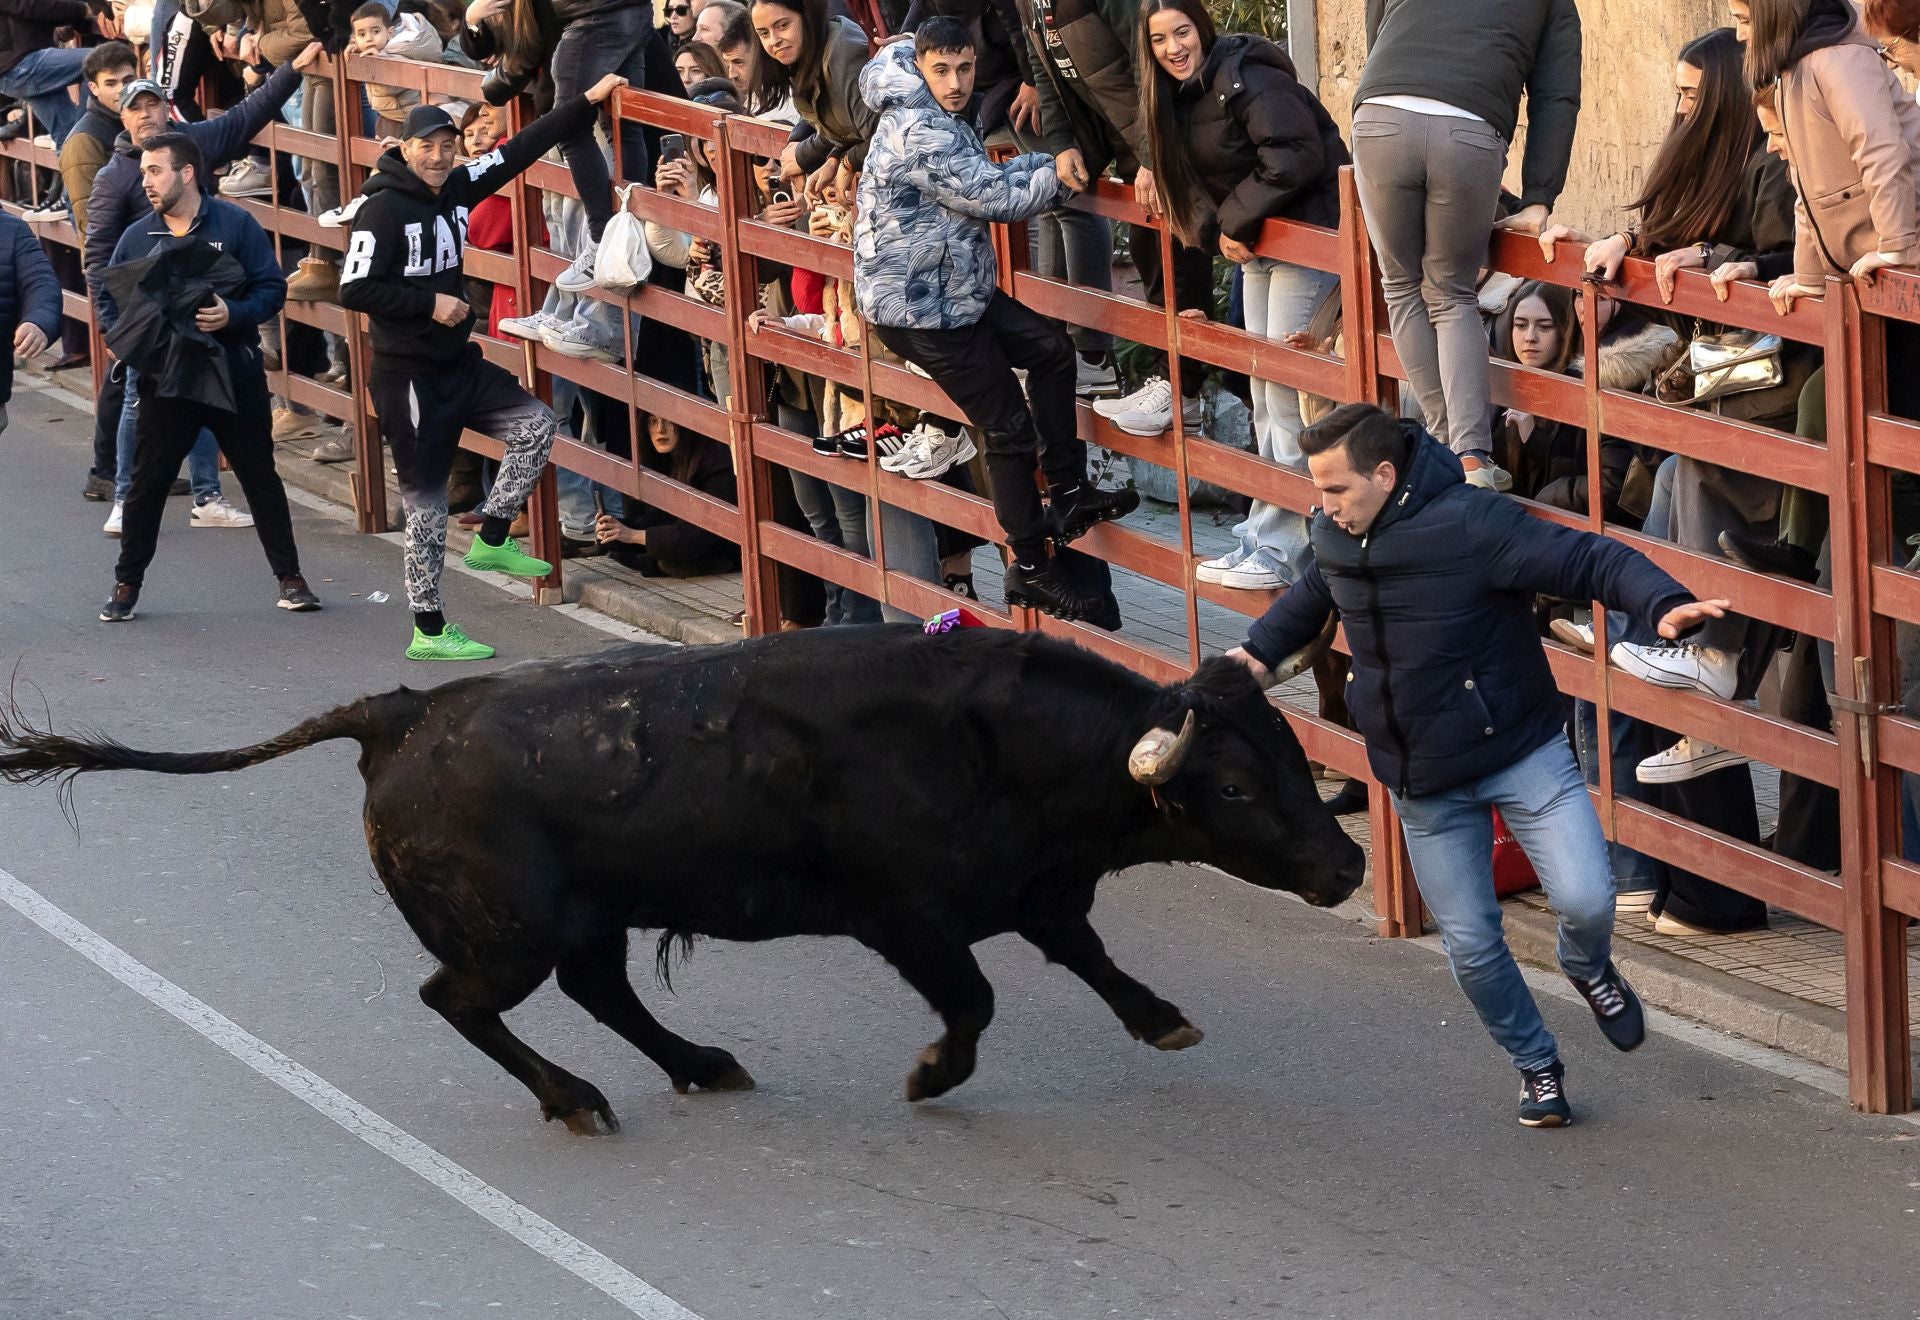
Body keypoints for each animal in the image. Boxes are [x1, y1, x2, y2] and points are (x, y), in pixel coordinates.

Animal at [0, 625, 1359, 1128]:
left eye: (1295, 760)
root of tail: (402, 714)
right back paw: (576, 1100)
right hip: (510, 931)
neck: (990, 736)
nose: (1348, 864)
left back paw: (699, 1064)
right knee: (463, 1002)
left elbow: (1088, 953)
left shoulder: (1031, 891)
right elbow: (975, 1000)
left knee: (600, 993)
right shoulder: (907, 919)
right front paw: (931, 1076)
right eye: (1237, 792)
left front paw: (1165, 1019)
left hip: (586, 922)